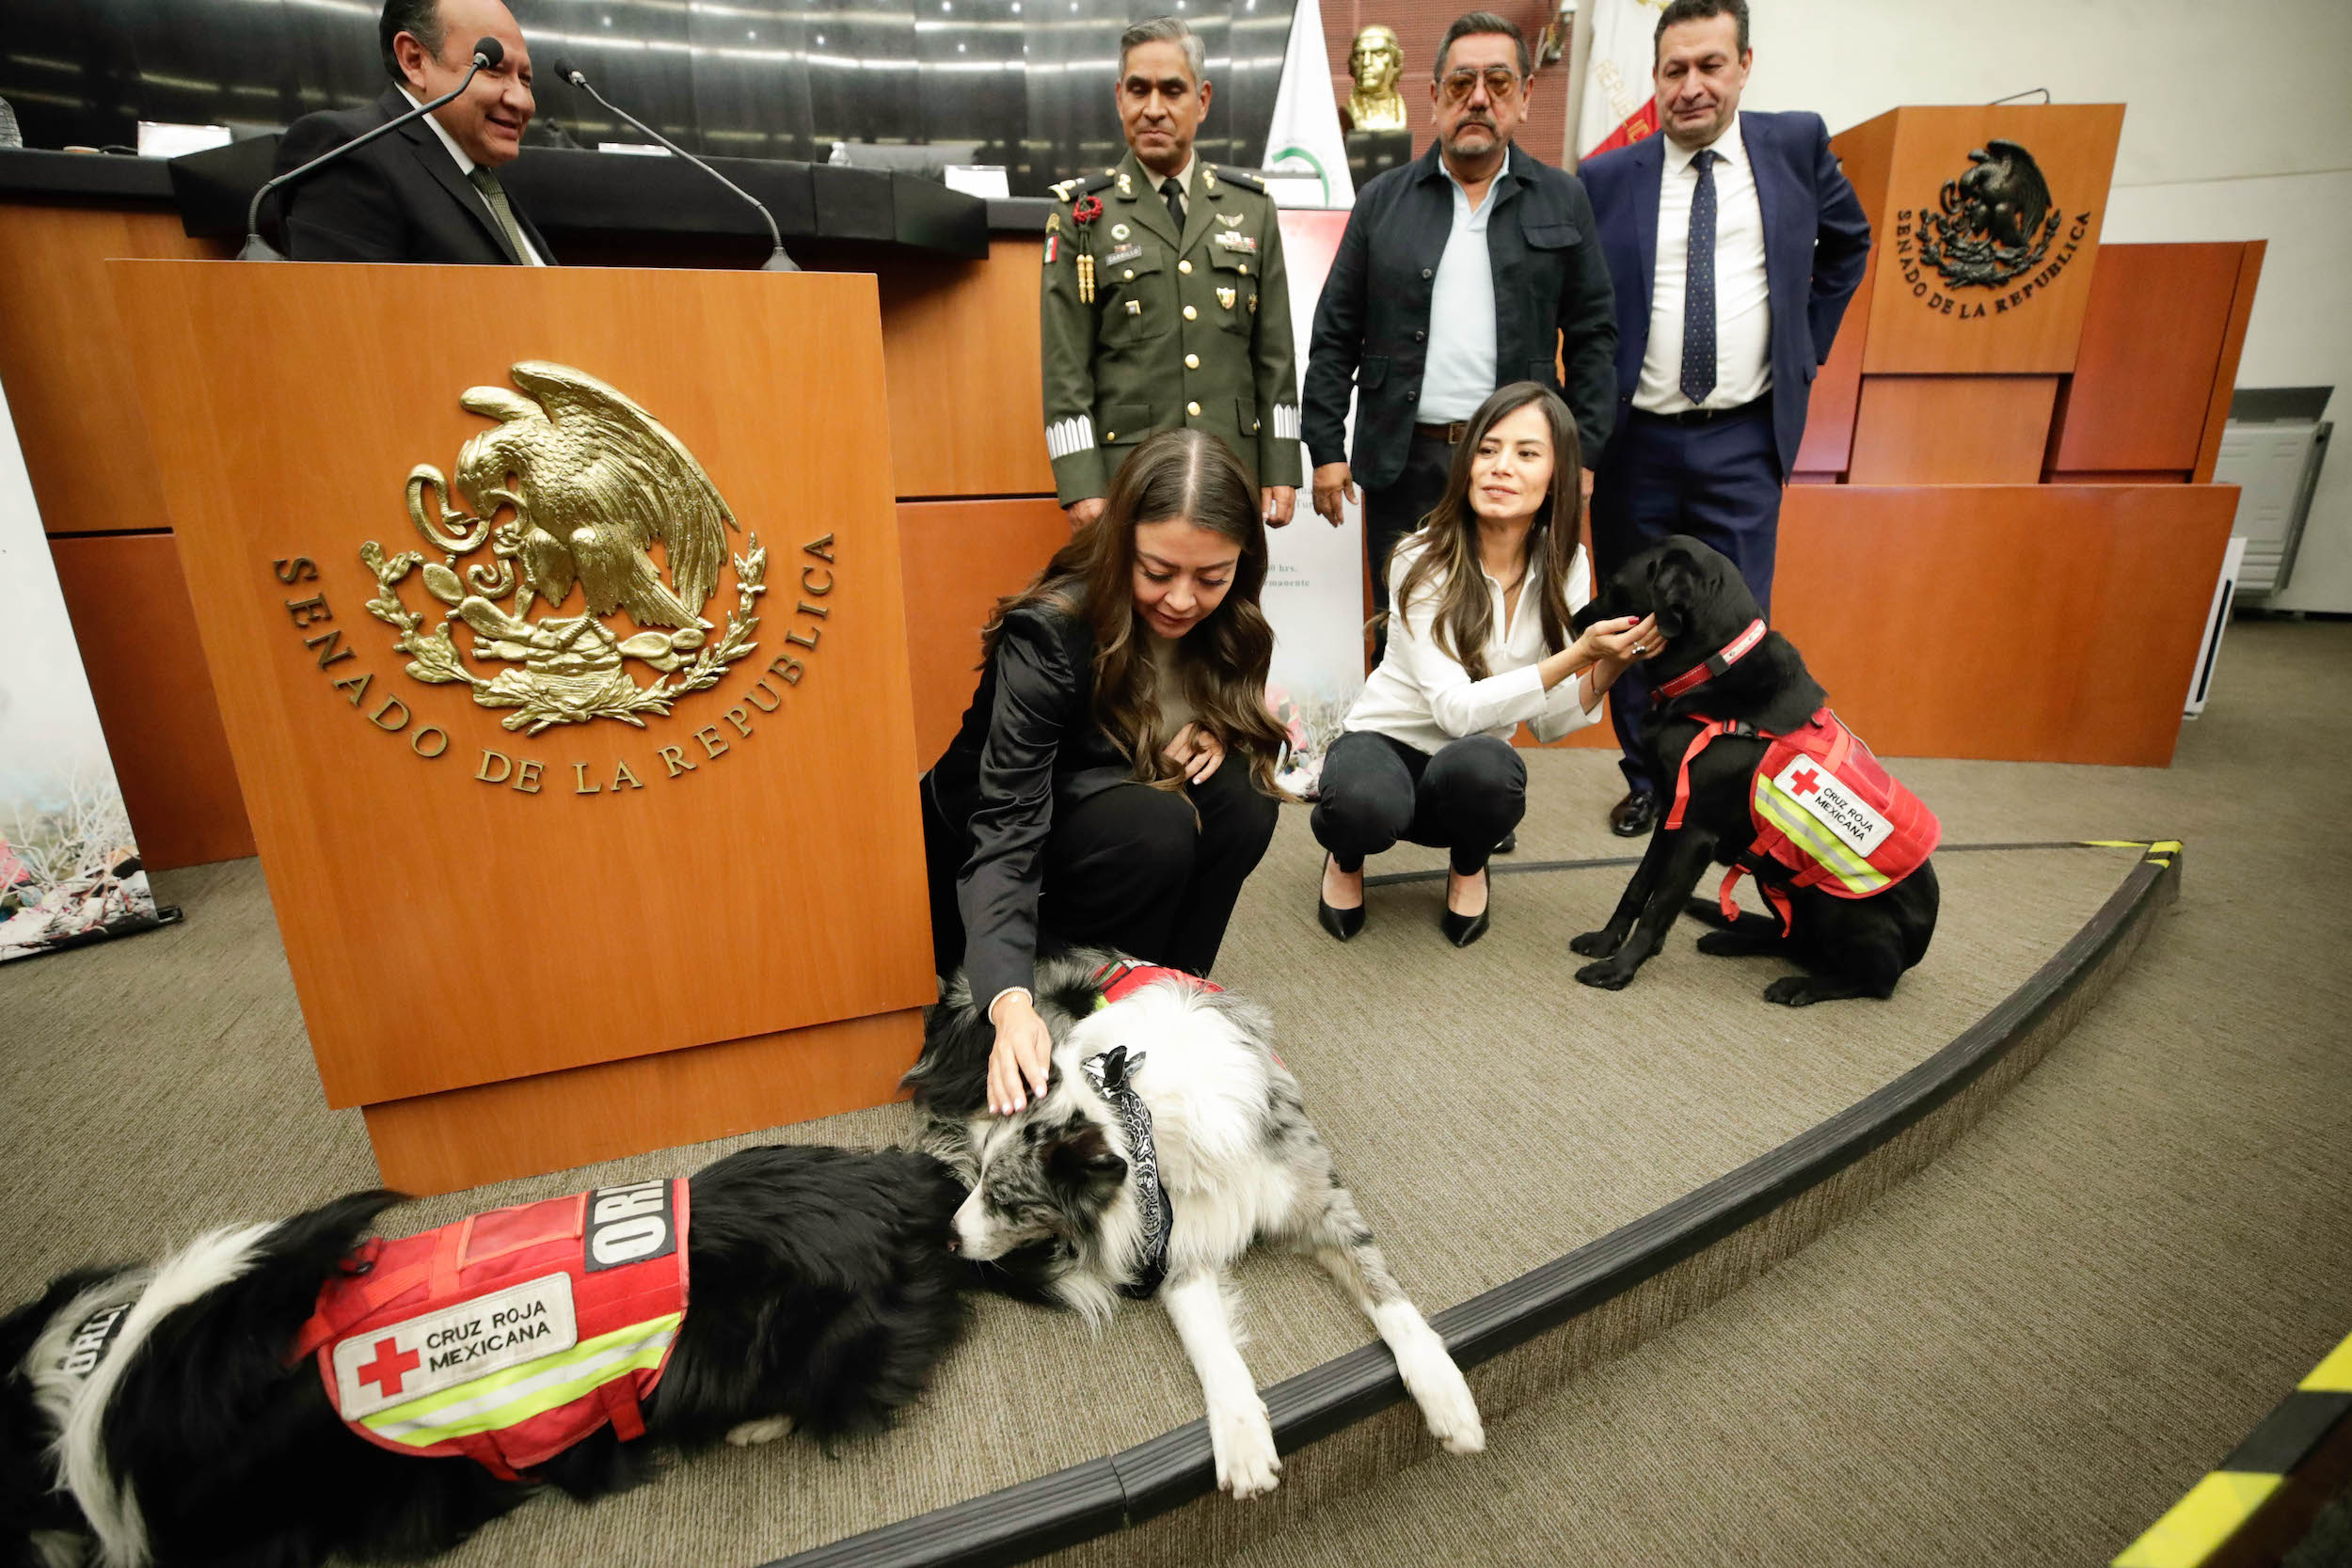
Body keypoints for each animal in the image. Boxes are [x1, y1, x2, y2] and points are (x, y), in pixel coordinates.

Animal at [903, 949, 1477, 1504]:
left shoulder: (1318, 1198)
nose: (949, 1237)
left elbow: (1386, 1294)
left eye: (1004, 1198)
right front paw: (1243, 1440)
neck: (1140, 1109)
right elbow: (1211, 1347)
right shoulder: (1176, 1248)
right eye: (982, 1180)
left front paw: (1443, 1390)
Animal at [1571, 540, 1938, 1006]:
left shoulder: (1696, 833)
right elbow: (1637, 888)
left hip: (1836, 903)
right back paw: (1728, 938)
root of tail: (1917, 950)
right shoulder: (1672, 816)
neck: (1711, 668)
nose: (1574, 622)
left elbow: (1657, 909)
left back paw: (1800, 985)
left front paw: (1619, 969)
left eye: (1614, 586)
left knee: (1874, 981)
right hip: (1774, 876)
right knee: (1791, 938)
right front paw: (1604, 943)